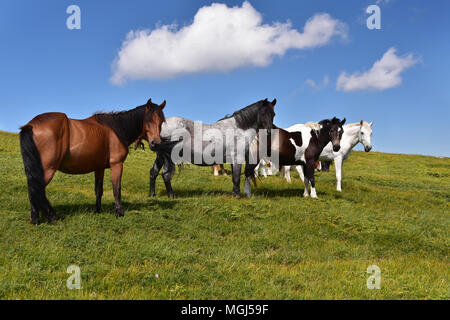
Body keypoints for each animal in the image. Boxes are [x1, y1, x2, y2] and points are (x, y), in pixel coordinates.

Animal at [20, 98, 166, 225]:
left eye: (161, 122)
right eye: (148, 120)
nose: (156, 144)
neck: (117, 129)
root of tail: (31, 125)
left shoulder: (99, 168)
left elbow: (98, 190)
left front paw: (98, 210)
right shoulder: (116, 164)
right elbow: (116, 189)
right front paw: (119, 212)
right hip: (47, 169)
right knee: (36, 189)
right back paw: (39, 218)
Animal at [144, 98, 276, 198]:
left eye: (273, 114)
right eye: (262, 114)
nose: (269, 132)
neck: (239, 128)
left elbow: (234, 177)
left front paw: (234, 194)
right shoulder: (237, 157)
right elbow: (237, 178)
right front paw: (237, 196)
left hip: (160, 156)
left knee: (153, 172)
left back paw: (152, 194)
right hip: (169, 157)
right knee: (166, 175)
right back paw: (171, 196)